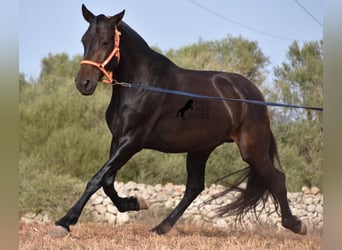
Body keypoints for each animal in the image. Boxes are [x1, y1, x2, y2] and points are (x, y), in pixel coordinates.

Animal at [49, 4, 306, 237]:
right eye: (84, 40)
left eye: (105, 42)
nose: (83, 83)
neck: (141, 84)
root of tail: (254, 95)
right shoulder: (118, 139)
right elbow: (108, 181)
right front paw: (135, 203)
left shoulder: (132, 142)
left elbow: (96, 179)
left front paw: (64, 223)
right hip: (201, 149)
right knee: (194, 187)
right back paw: (160, 227)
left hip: (252, 149)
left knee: (277, 179)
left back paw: (296, 225)